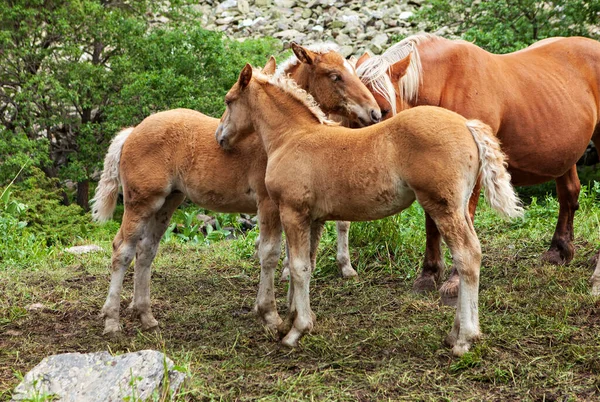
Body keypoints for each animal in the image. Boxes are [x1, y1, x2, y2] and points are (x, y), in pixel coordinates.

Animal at [91, 45, 380, 338]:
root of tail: (131, 131)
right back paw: (112, 320)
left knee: (146, 250)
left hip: (167, 203)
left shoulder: (298, 209)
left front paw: (294, 313)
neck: (283, 135)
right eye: (335, 76)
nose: (375, 113)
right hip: (141, 202)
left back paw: (146, 315)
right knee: (122, 249)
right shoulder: (270, 204)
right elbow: (271, 254)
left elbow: (298, 257)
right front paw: (271, 314)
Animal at [218, 63, 524, 354]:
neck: (292, 136)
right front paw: (294, 319)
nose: (219, 136)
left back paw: (464, 339)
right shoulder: (312, 218)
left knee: (466, 257)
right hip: (459, 208)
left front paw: (296, 331)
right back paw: (457, 333)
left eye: (228, 101)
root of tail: (467, 124)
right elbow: (306, 265)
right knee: (475, 251)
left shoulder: (292, 211)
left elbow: (297, 267)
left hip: (443, 207)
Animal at [356, 34, 600, 302]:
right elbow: (432, 224)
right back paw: (559, 250)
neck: (447, 83)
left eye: (383, 110)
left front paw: (455, 281)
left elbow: (463, 222)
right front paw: (428, 275)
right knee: (569, 194)